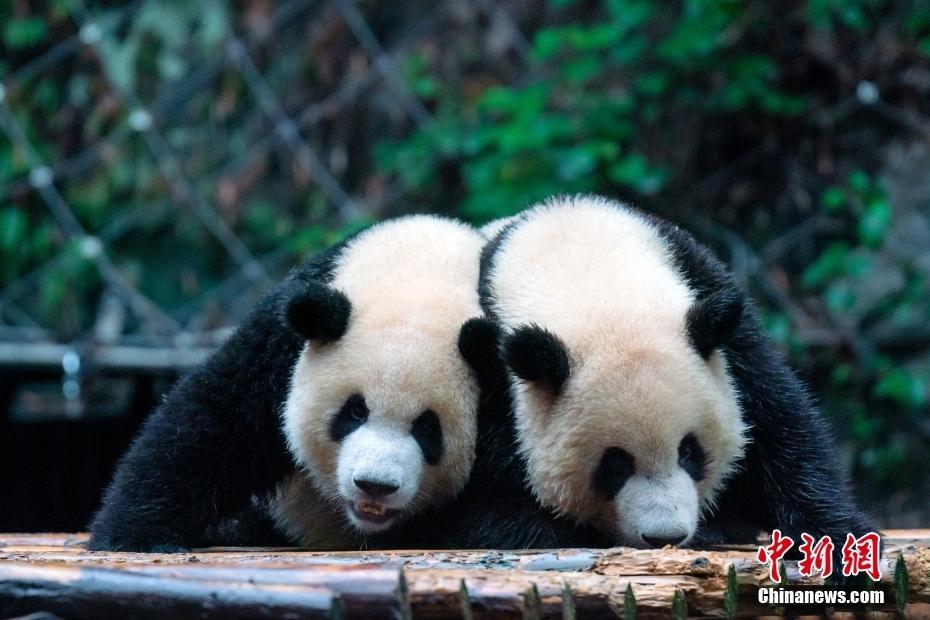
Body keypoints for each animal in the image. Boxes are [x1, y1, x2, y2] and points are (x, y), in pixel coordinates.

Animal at [91, 214, 496, 552]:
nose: (374, 486)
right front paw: (137, 533)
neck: (418, 275)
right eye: (354, 412)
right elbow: (216, 421)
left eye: (427, 428)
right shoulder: (284, 338)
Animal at [478, 194, 876, 548]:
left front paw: (838, 537)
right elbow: (490, 501)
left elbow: (778, 423)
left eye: (689, 450)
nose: (664, 536)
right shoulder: (489, 371)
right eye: (614, 465)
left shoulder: (716, 308)